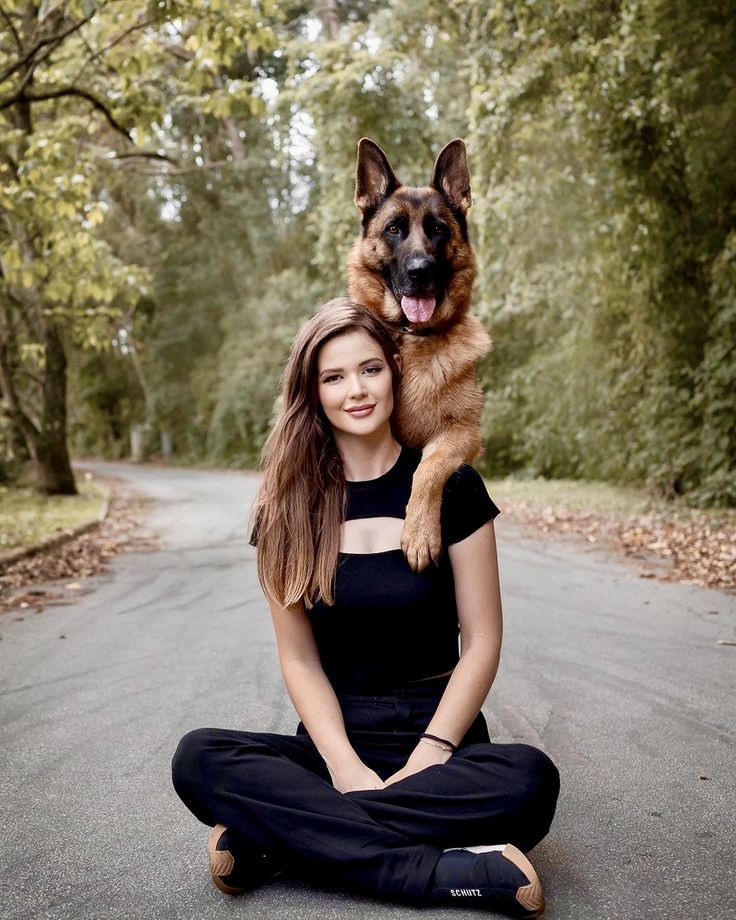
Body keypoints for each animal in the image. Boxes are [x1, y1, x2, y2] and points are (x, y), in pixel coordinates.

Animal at [348, 137, 492, 572]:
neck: (413, 339)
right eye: (394, 229)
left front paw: (419, 533)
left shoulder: (464, 433)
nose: (419, 271)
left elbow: (427, 469)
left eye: (438, 229)